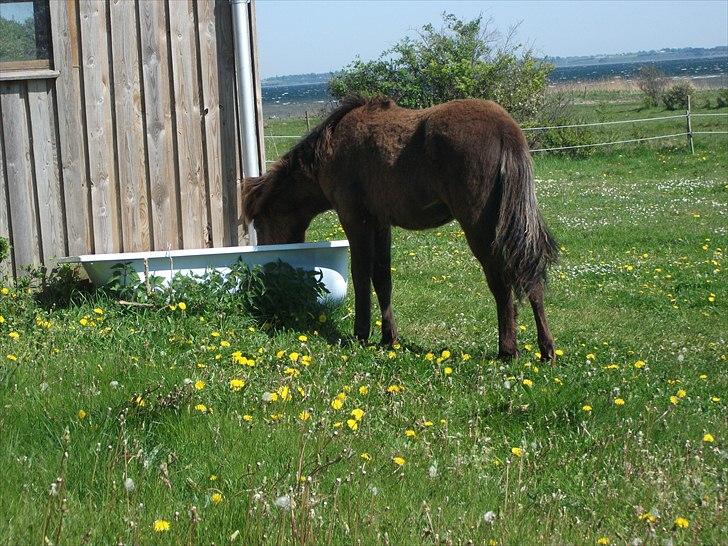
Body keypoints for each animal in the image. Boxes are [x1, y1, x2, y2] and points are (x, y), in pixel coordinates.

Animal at [243, 96, 556, 362]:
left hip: (481, 229)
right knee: (530, 277)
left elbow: (361, 275)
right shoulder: (381, 223)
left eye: (259, 220)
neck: (331, 146)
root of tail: (506, 130)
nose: (269, 263)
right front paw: (388, 337)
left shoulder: (354, 219)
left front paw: (361, 333)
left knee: (502, 283)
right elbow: (382, 278)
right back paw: (546, 350)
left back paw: (508, 349)